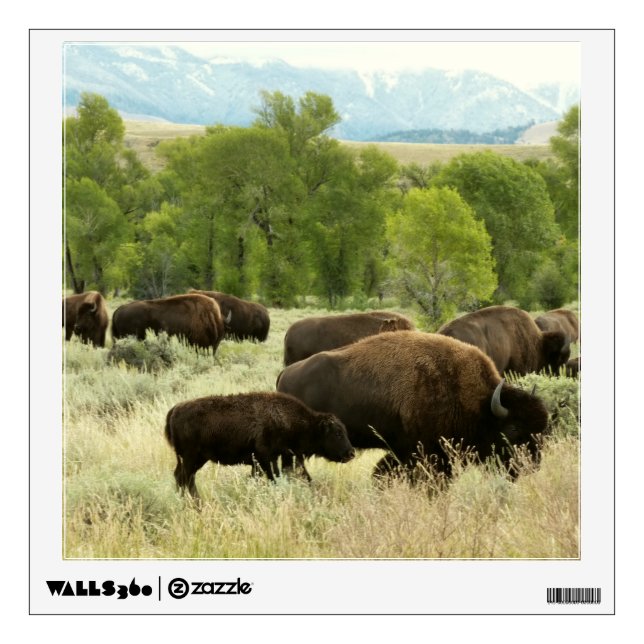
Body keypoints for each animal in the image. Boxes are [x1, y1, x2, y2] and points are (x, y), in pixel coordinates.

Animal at [164, 392, 356, 498]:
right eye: (337, 433)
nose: (351, 453)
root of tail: (175, 409)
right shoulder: (266, 458)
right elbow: (274, 478)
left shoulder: (268, 460)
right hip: (191, 458)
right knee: (185, 478)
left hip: (192, 459)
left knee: (182, 477)